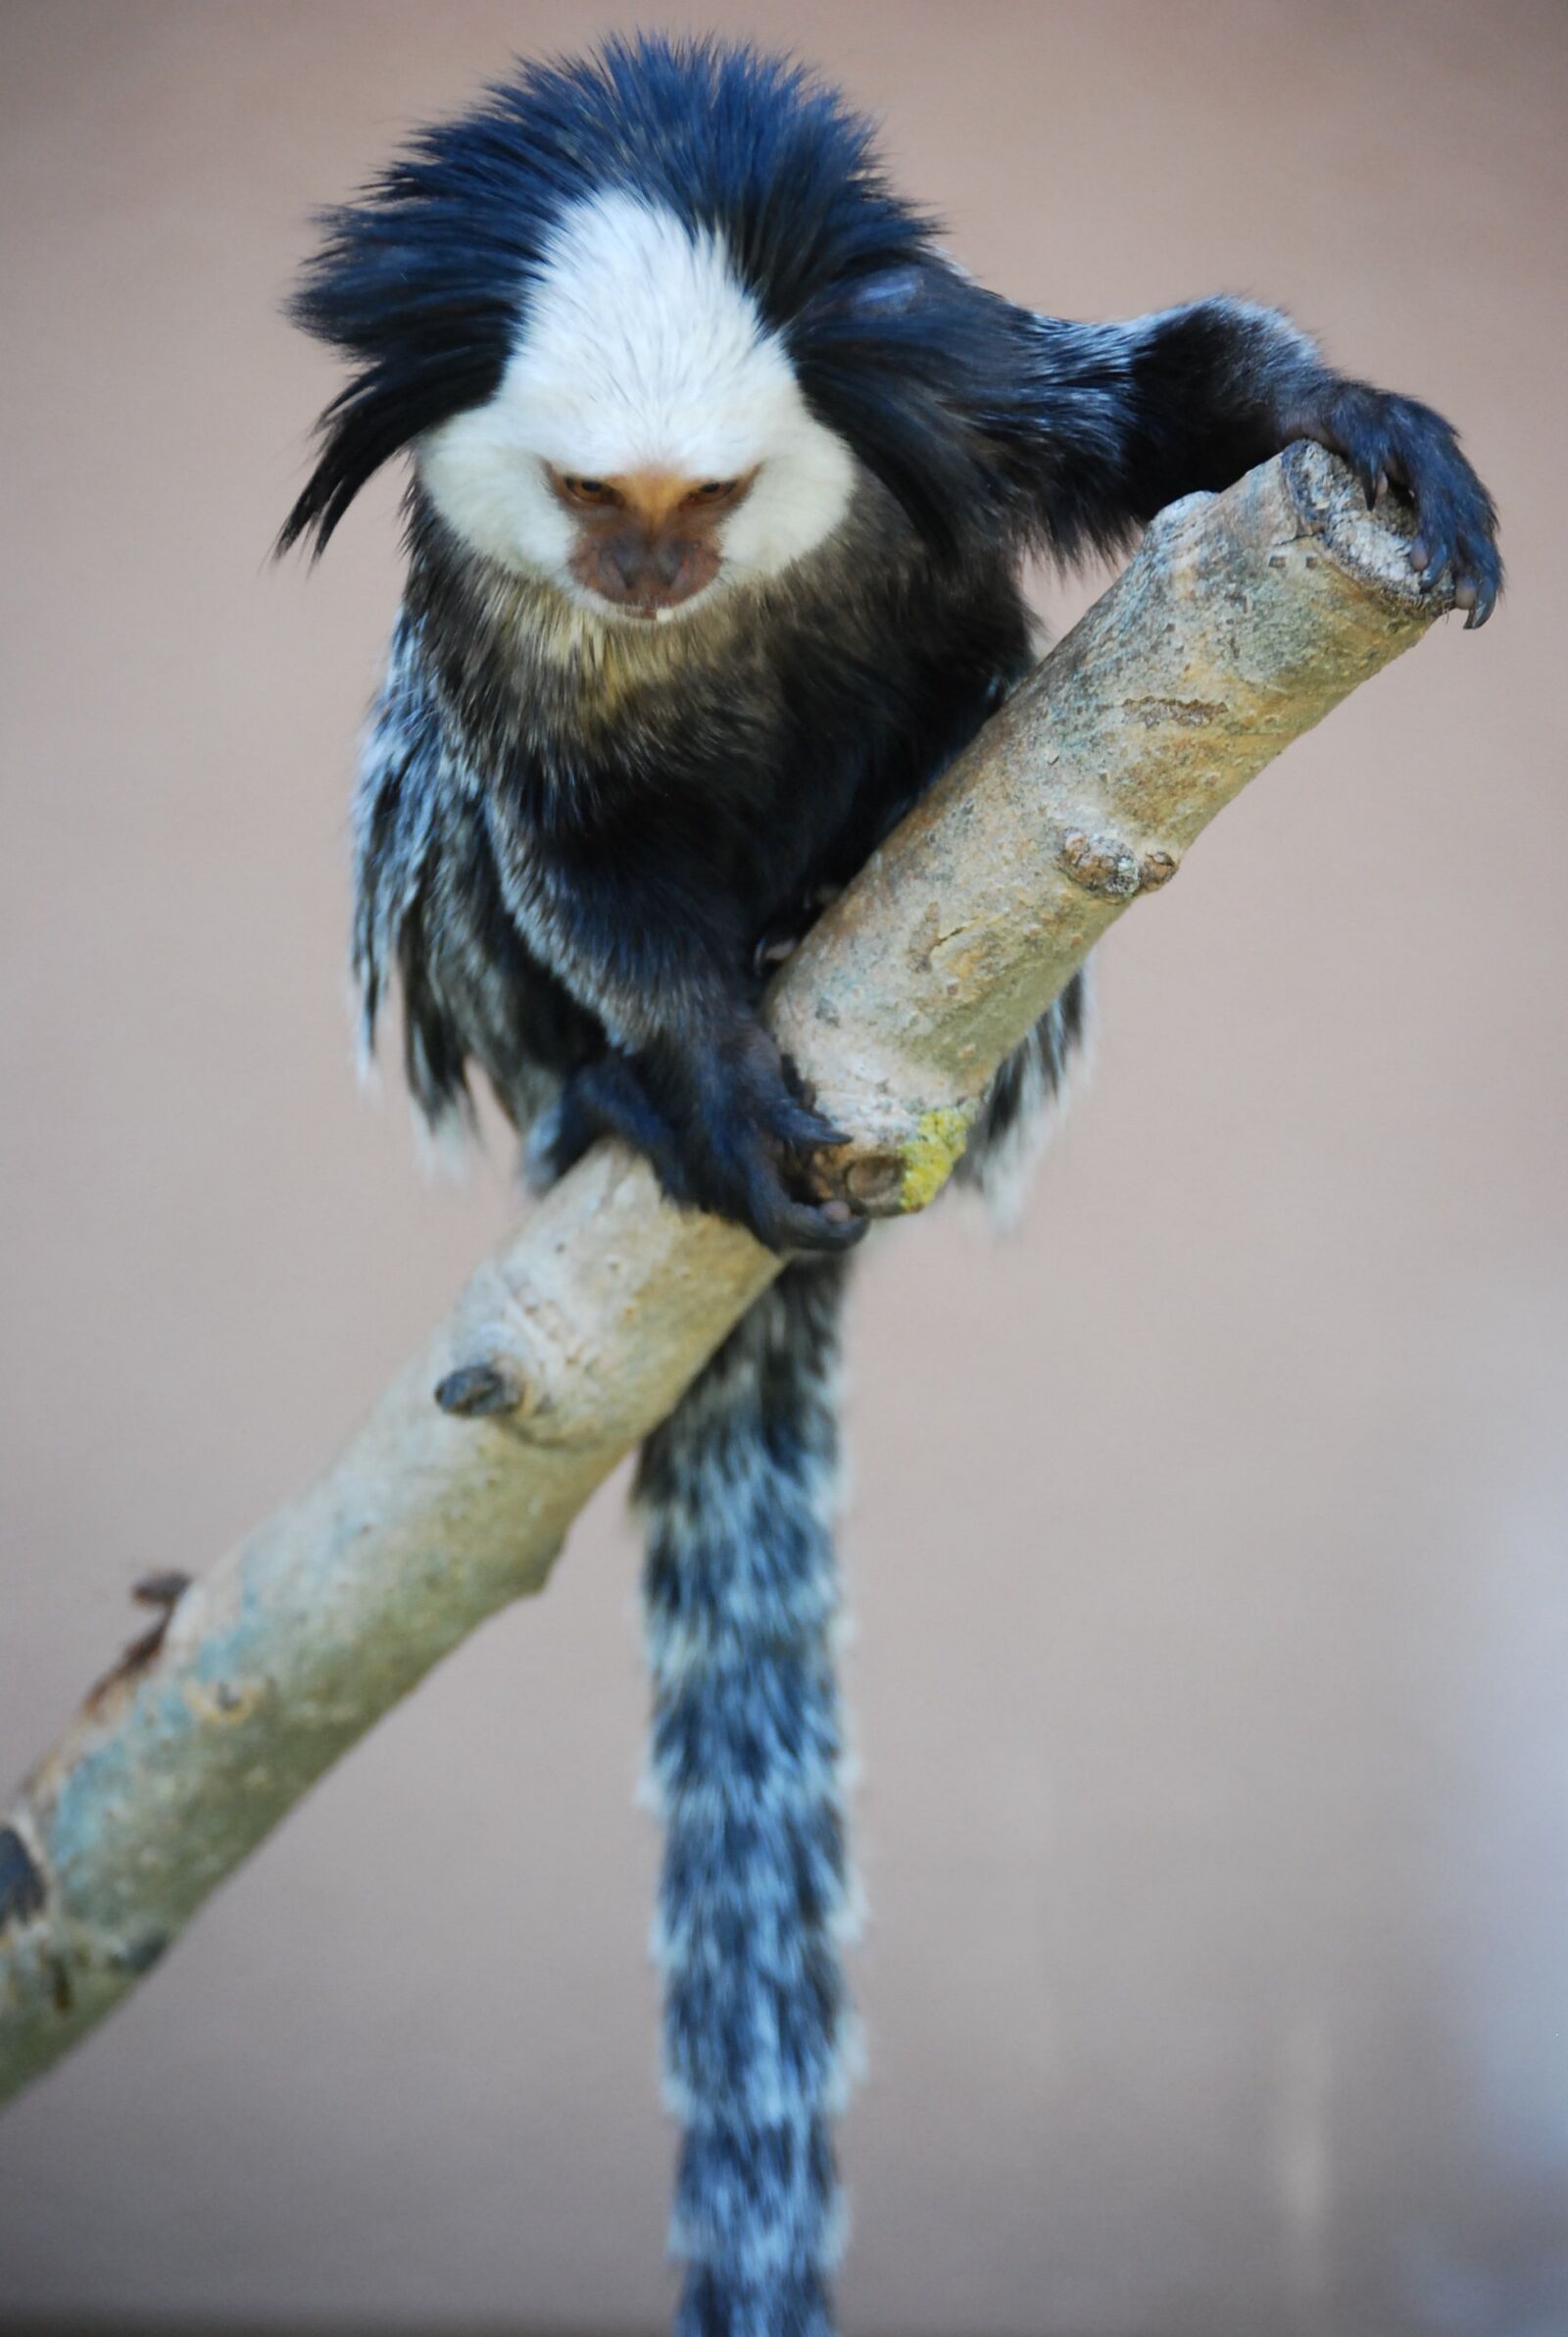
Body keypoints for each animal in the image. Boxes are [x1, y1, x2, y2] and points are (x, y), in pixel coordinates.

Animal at [280, 38, 1499, 2337]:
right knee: (431, 801)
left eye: (704, 504)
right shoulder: (492, 641)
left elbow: (1154, 393)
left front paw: (1346, 414)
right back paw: (611, 1104)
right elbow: (563, 846)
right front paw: (677, 1056)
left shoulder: (943, 385)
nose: (645, 577)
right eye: (589, 502)